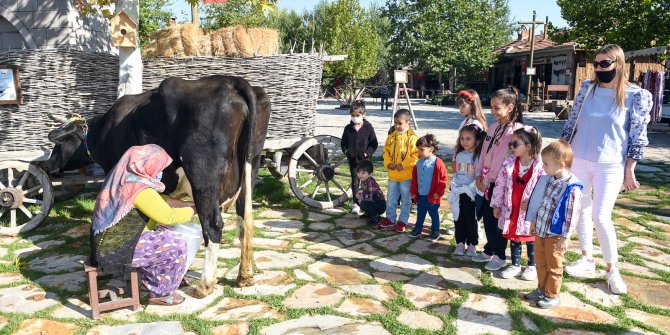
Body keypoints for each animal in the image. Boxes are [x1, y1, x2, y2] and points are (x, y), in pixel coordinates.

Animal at [45, 75, 272, 296]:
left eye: (59, 144)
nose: (48, 166)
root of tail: (232, 82)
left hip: (203, 176)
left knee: (213, 224)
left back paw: (204, 285)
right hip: (251, 167)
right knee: (245, 220)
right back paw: (245, 276)